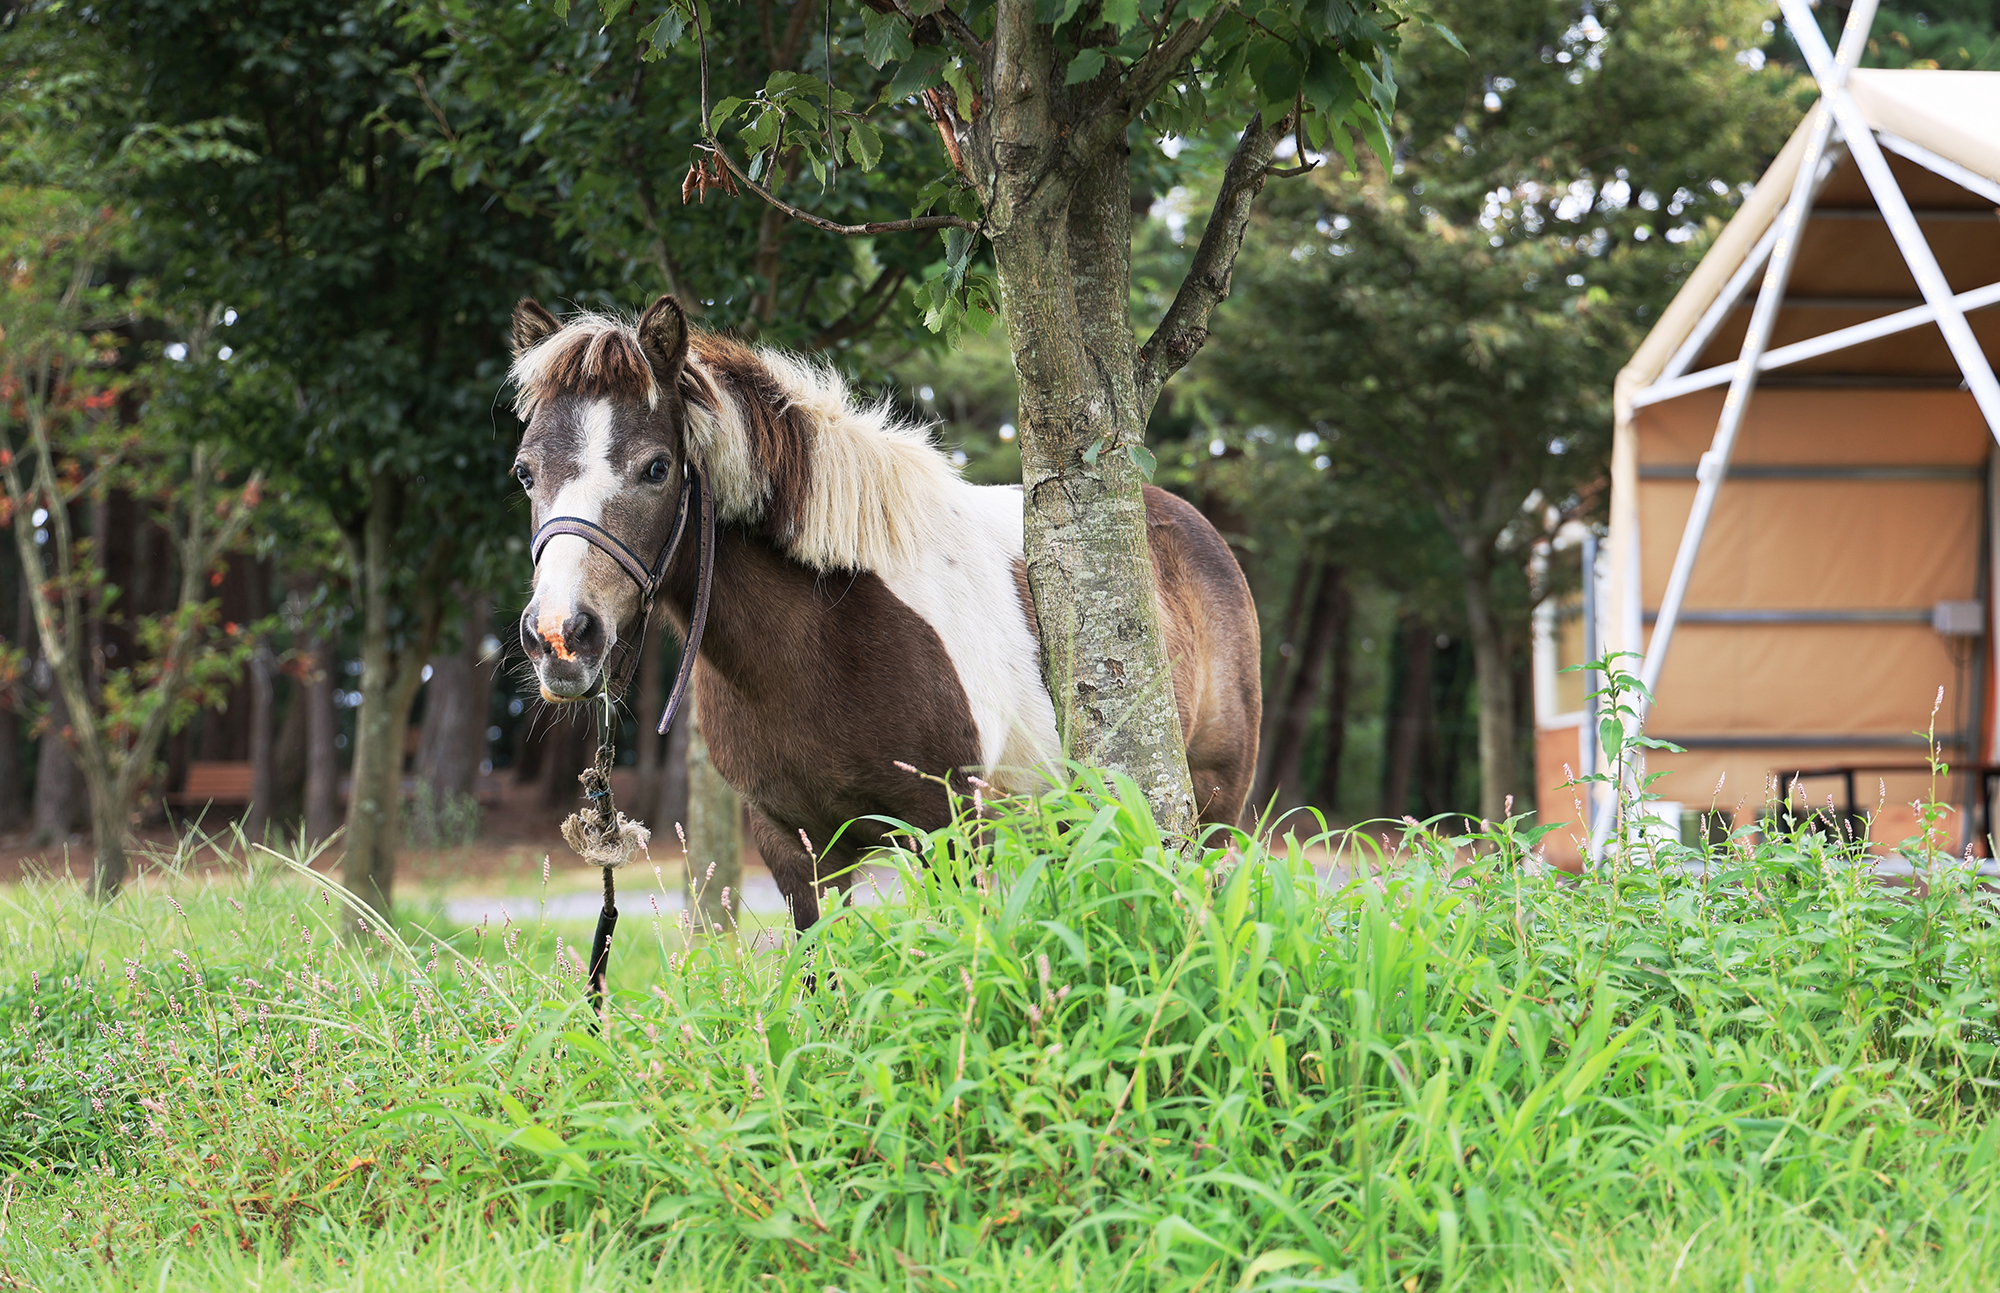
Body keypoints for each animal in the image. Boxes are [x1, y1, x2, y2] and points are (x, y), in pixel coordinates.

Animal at [508, 294, 1256, 932]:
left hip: (1212, 812)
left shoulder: (950, 828)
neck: (817, 639)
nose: (560, 637)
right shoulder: (797, 847)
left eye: (657, 468)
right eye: (525, 472)